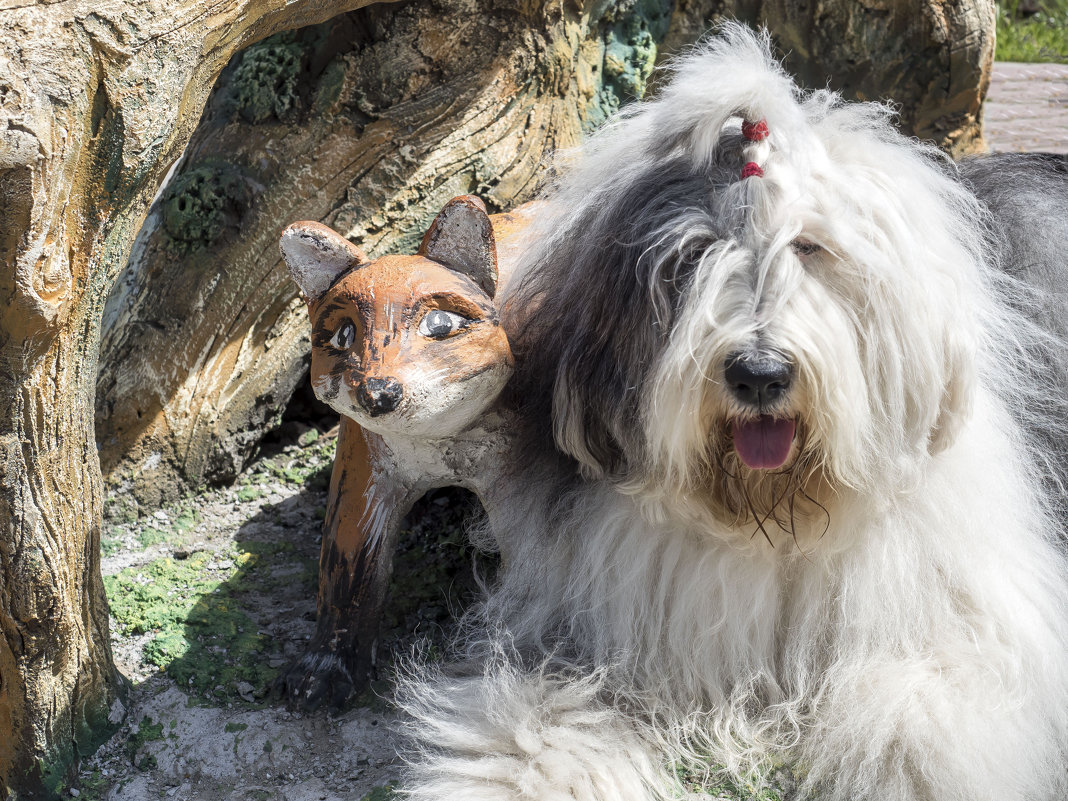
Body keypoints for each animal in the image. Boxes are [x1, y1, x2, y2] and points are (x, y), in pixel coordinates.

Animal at [397, 25, 1068, 801]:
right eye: (691, 255)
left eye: (809, 246)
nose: (759, 373)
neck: (773, 513)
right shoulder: (587, 626)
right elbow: (539, 720)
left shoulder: (973, 621)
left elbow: (924, 705)